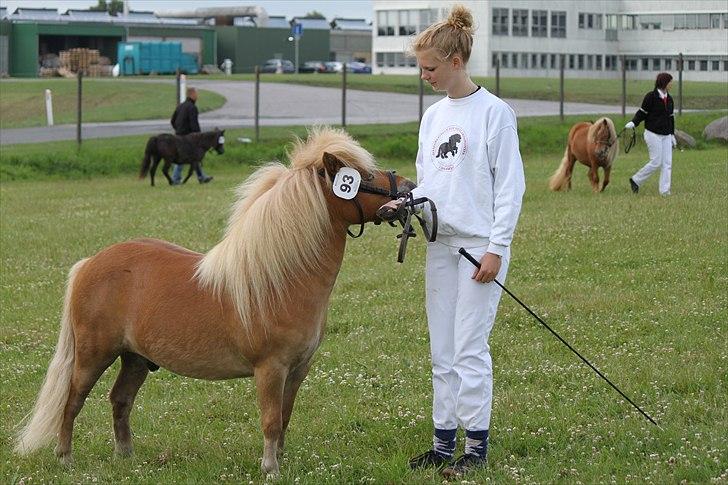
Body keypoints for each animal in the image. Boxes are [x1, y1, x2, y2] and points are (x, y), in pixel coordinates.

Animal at [12, 125, 416, 476]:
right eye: (363, 174)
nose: (410, 186)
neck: (281, 279)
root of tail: (89, 263)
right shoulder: (270, 369)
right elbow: (270, 420)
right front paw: (270, 468)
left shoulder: (298, 370)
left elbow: (285, 418)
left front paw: (282, 461)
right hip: (93, 354)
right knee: (72, 400)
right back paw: (65, 457)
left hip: (136, 358)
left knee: (120, 399)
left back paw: (126, 456)